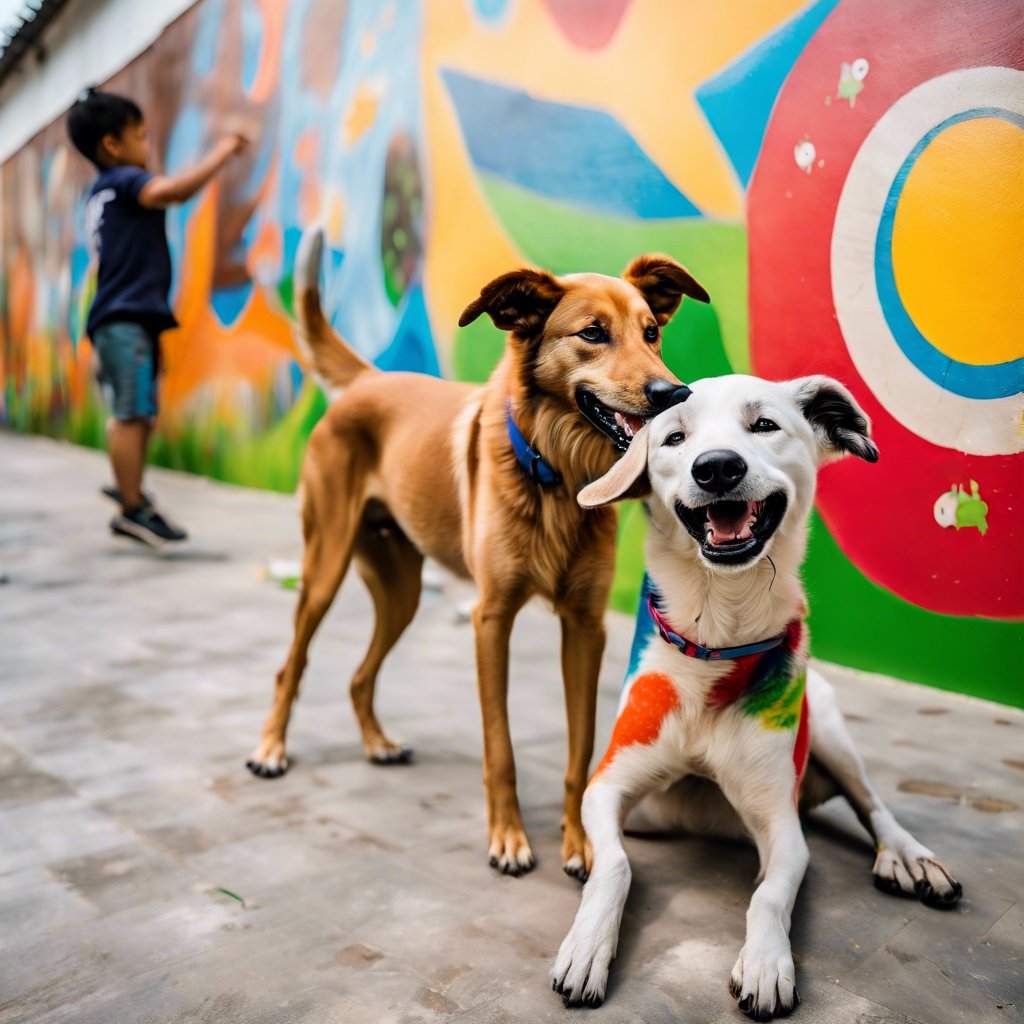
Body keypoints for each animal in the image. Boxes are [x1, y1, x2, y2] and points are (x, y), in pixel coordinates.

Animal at [246, 228, 704, 876]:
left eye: (651, 333)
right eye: (592, 333)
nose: (674, 393)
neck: (555, 476)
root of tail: (367, 380)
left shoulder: (585, 626)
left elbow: (581, 748)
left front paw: (580, 843)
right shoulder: (491, 619)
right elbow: (500, 746)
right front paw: (509, 840)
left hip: (403, 592)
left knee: (360, 676)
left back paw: (378, 745)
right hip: (324, 568)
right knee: (293, 663)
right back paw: (271, 749)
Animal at [552, 374, 958, 1015]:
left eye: (764, 425)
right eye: (674, 437)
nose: (717, 467)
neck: (718, 641)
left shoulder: (780, 825)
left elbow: (770, 894)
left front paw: (767, 964)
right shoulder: (610, 785)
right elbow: (614, 865)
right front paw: (587, 943)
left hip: (833, 730)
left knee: (871, 803)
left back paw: (908, 856)